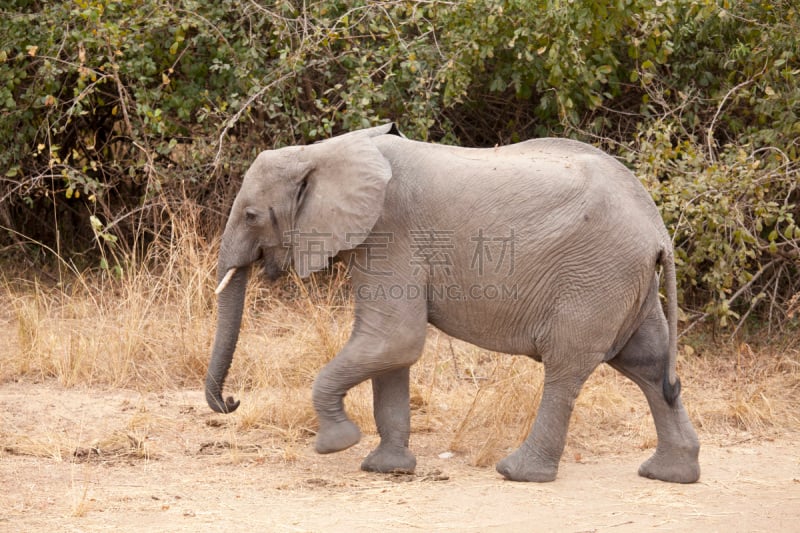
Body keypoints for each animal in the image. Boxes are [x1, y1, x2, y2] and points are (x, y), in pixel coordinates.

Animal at [206, 123, 700, 482]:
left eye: (251, 215)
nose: (232, 400)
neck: (322, 152)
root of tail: (658, 231)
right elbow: (390, 352)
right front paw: (387, 469)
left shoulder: (390, 234)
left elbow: (395, 340)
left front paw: (337, 443)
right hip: (625, 282)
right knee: (648, 365)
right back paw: (670, 474)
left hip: (595, 278)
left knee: (566, 367)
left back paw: (517, 473)